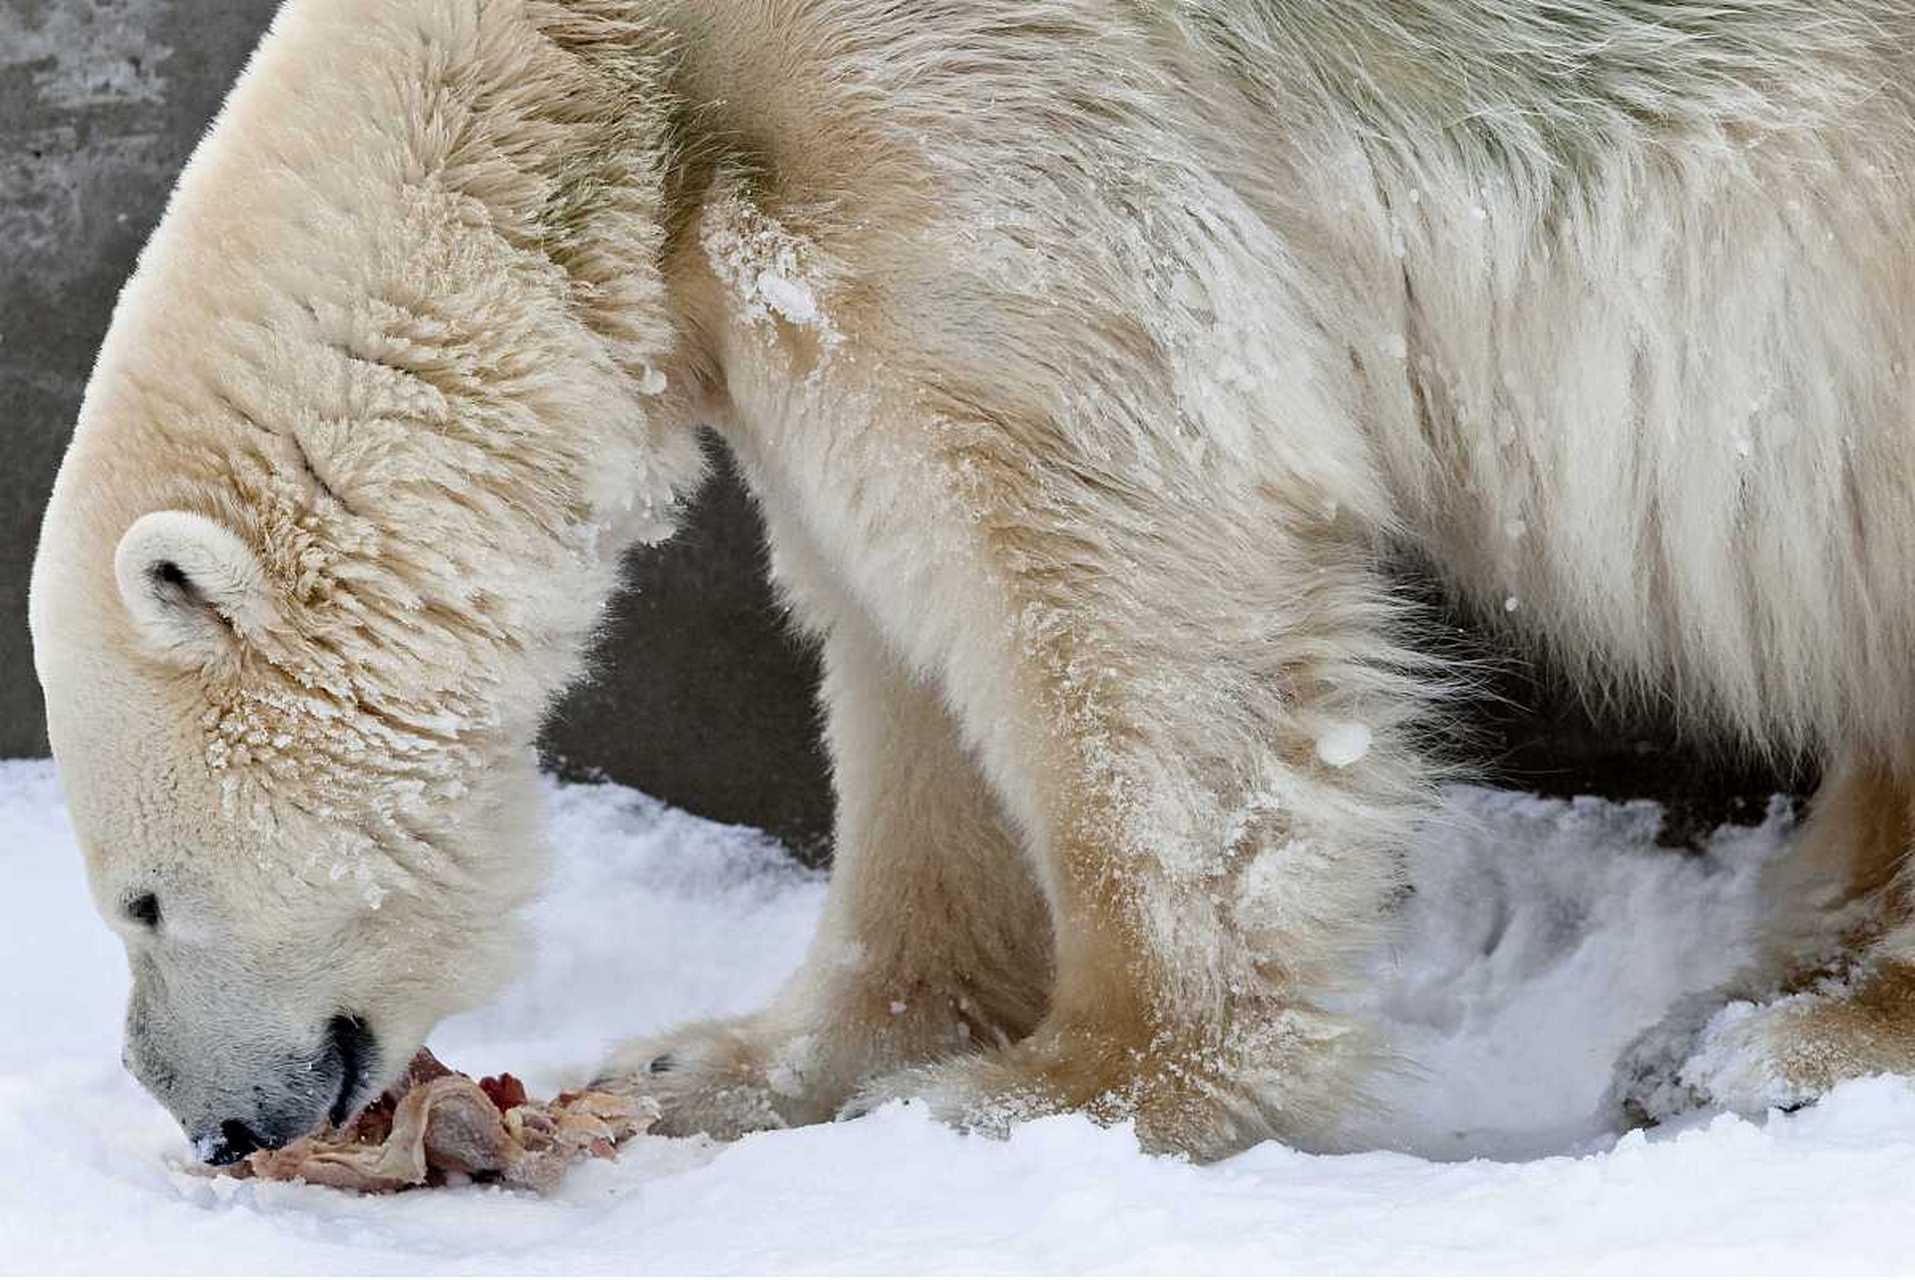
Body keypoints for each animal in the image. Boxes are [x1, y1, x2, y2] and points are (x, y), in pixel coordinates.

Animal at [29, 0, 1915, 1157]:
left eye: (140, 899)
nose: (214, 1124)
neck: (596, 60)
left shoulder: (957, 103)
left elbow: (1127, 558)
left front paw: (1064, 1091)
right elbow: (894, 617)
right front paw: (730, 1062)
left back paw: (1794, 1042)